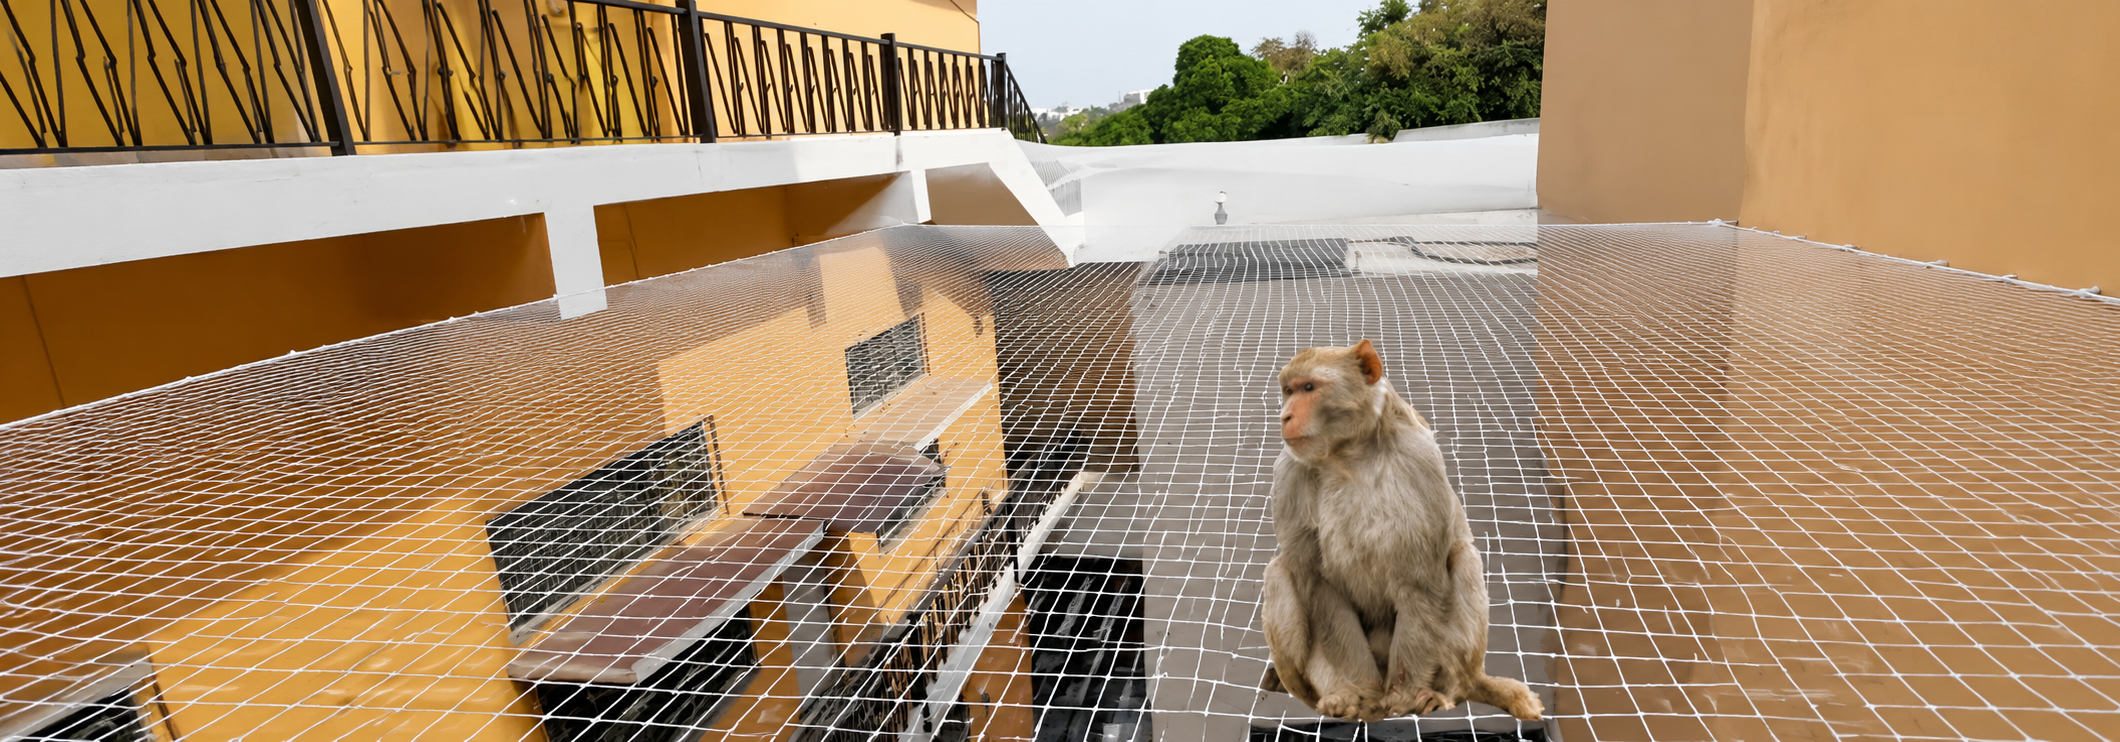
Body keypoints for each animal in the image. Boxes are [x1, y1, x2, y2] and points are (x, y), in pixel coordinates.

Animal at [1257, 339, 1542, 723]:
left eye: (1309, 388)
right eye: (1288, 391)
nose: (1284, 417)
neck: (1350, 455)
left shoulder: (1419, 460)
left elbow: (1420, 581)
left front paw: (1403, 698)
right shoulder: (1288, 474)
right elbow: (1318, 584)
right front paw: (1357, 694)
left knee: (1463, 558)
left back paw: (1449, 690)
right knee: (1279, 571)